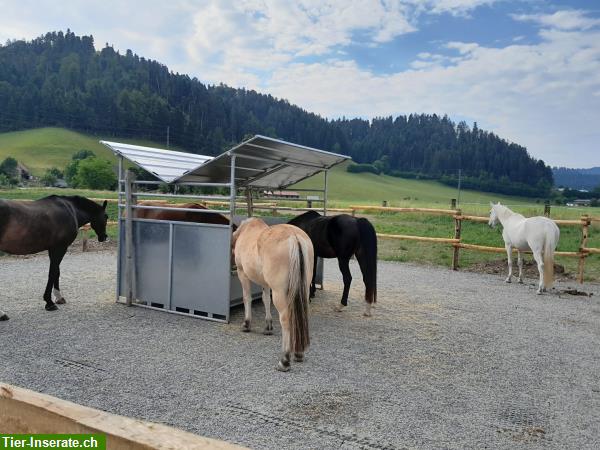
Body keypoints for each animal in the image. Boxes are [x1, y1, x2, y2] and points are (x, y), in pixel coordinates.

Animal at [231, 216, 314, 370]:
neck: (246, 230)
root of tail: (294, 237)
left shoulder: (242, 274)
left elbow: (247, 298)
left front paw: (246, 324)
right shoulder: (265, 283)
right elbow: (265, 300)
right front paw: (268, 327)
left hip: (279, 293)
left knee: (286, 319)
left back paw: (285, 360)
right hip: (302, 290)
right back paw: (298, 353)